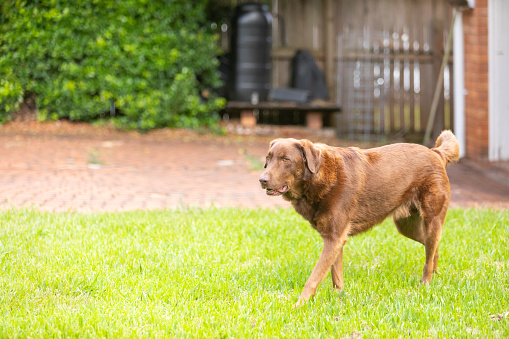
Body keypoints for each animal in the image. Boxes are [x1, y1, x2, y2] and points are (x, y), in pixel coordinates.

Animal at [260, 130, 458, 308]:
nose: (262, 180)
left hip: (431, 218)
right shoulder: (335, 239)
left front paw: (299, 305)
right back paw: (436, 275)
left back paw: (425, 285)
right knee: (433, 249)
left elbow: (314, 278)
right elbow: (336, 275)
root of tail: (436, 153)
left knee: (429, 255)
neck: (318, 178)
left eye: (286, 160)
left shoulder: (334, 239)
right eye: (268, 159)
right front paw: (338, 298)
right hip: (406, 225)